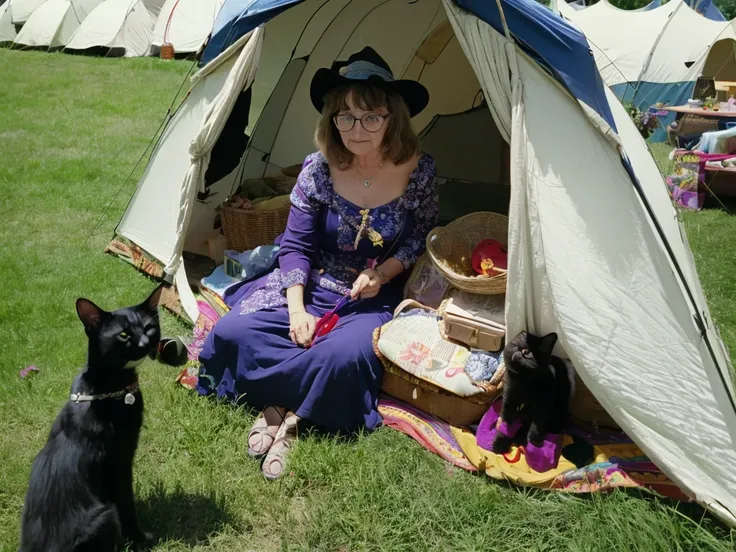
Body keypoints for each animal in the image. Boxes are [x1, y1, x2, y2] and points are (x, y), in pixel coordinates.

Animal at [19, 284, 165, 552]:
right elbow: (127, 504)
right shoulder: (119, 462)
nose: (146, 341)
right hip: (104, 517)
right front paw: (140, 538)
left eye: (149, 327)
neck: (104, 391)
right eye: (124, 335)